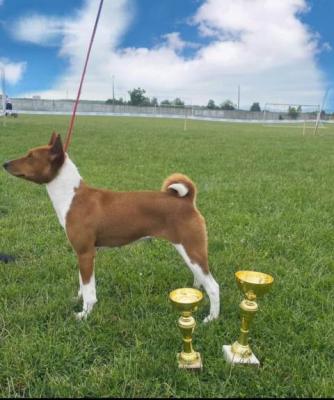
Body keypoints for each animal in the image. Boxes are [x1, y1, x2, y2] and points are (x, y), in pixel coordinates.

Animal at [3, 133, 222, 324]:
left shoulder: (86, 253)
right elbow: (82, 283)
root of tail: (187, 201)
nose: (5, 163)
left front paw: (85, 314)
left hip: (192, 249)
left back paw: (211, 318)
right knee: (200, 278)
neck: (72, 197)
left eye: (31, 156)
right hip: (189, 251)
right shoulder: (82, 253)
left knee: (213, 286)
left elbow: (89, 290)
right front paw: (77, 300)